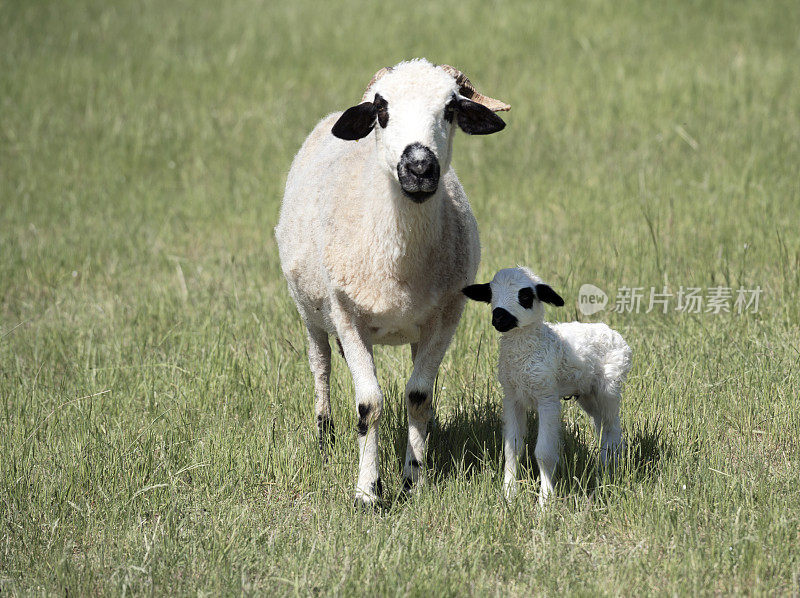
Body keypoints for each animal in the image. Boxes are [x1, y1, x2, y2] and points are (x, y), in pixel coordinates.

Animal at [276, 58, 510, 506]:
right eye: (381, 110)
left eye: (451, 109)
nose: (419, 167)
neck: (400, 261)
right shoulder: (346, 314)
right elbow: (369, 404)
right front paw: (367, 492)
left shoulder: (445, 317)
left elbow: (418, 396)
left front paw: (413, 480)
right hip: (310, 310)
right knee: (321, 364)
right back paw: (324, 438)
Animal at [462, 268, 632, 506]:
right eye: (491, 294)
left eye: (525, 296)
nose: (499, 317)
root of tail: (610, 331)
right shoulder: (512, 398)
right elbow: (512, 449)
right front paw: (509, 495)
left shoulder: (547, 398)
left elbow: (544, 453)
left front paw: (545, 501)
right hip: (588, 394)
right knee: (601, 426)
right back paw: (602, 466)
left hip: (609, 386)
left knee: (612, 428)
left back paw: (611, 471)